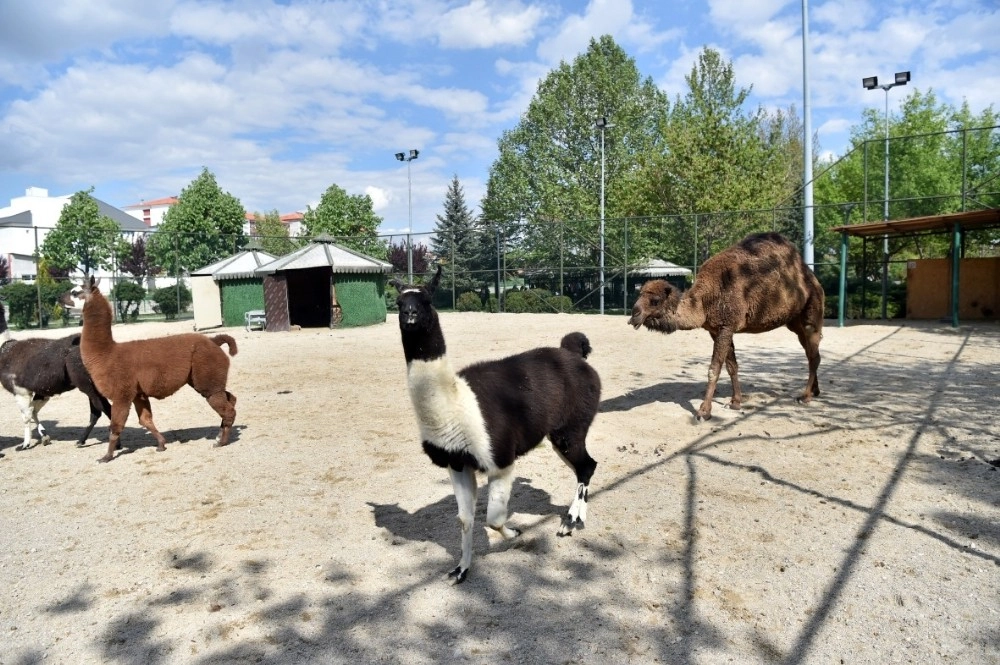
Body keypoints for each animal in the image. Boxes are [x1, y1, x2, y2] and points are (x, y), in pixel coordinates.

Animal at [628, 233, 824, 418]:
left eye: (655, 300)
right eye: (640, 294)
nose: (634, 315)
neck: (705, 301)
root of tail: (812, 278)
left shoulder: (727, 326)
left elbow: (714, 368)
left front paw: (704, 412)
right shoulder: (717, 330)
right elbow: (732, 366)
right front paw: (735, 402)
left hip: (812, 310)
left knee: (813, 354)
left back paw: (805, 396)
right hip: (795, 322)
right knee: (810, 352)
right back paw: (815, 391)